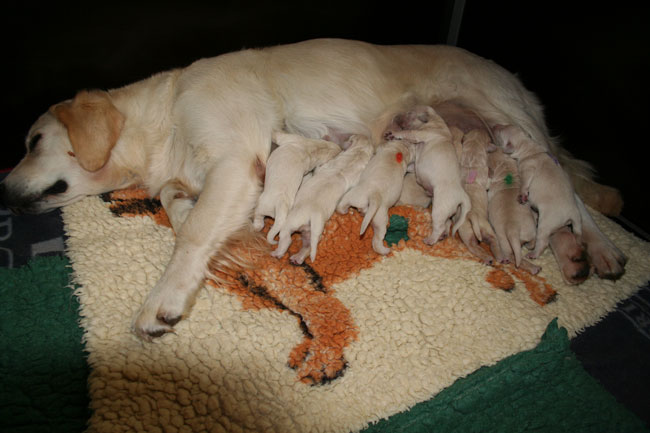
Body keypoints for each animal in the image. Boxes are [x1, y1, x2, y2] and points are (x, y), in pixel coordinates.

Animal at [270, 134, 372, 264]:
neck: (357, 155)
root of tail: (312, 215)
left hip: (290, 224)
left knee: (286, 240)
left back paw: (277, 253)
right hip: (314, 231)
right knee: (308, 246)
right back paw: (298, 258)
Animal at [384, 104, 470, 245]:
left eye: (409, 113)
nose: (396, 116)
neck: (435, 120)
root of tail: (462, 194)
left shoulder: (419, 134)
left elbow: (406, 133)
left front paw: (394, 133)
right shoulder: (415, 163)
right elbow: (411, 166)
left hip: (439, 208)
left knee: (439, 226)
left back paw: (430, 240)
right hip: (442, 207)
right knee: (447, 223)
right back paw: (442, 236)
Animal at [492, 125, 584, 260]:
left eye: (499, 132)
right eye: (504, 125)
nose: (494, 126)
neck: (530, 147)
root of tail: (572, 212)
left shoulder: (527, 168)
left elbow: (525, 183)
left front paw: (522, 194)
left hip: (545, 223)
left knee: (542, 241)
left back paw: (533, 253)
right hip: (573, 222)